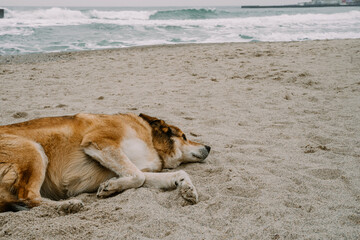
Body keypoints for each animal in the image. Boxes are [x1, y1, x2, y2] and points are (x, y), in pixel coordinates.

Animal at [0, 113, 211, 213]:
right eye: (184, 136)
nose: (209, 147)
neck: (151, 141)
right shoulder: (100, 142)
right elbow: (138, 177)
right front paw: (109, 187)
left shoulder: (126, 165)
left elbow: (175, 175)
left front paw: (188, 189)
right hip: (34, 151)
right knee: (27, 197)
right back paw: (67, 205)